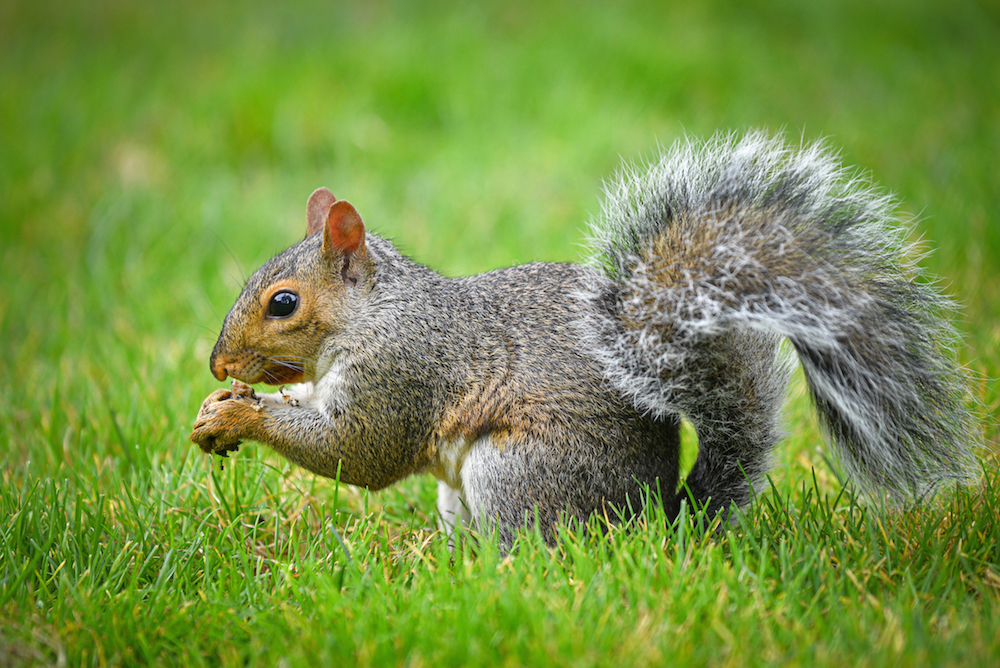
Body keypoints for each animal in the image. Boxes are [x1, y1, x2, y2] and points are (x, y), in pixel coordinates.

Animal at [191, 132, 980, 548]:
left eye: (284, 302)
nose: (219, 363)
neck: (377, 312)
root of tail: (657, 522)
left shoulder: (404, 371)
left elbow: (358, 450)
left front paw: (240, 416)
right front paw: (219, 409)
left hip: (517, 472)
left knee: (536, 553)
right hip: (463, 496)